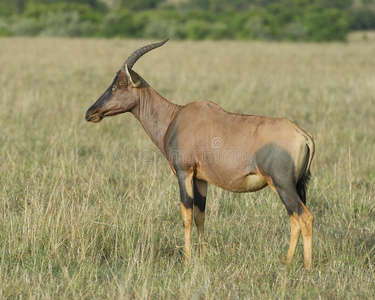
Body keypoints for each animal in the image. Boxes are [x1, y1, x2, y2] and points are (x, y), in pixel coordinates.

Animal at [84, 38, 314, 270]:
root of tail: (303, 136)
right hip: (292, 186)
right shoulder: (201, 179)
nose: (90, 113)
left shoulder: (184, 172)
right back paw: (287, 263)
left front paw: (187, 260)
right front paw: (202, 257)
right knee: (294, 219)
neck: (175, 116)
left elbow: (185, 215)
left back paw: (307, 266)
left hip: (282, 184)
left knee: (304, 217)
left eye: (119, 84)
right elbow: (199, 215)